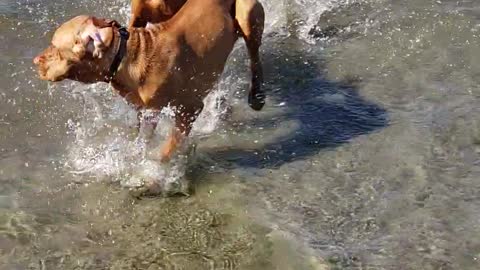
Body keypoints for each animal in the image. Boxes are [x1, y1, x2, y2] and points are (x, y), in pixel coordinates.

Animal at [32, 0, 266, 162]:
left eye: (54, 47)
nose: (35, 61)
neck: (126, 57)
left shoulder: (189, 108)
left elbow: (169, 146)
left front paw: (154, 172)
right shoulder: (146, 111)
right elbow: (143, 138)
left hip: (248, 14)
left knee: (254, 55)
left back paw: (256, 95)